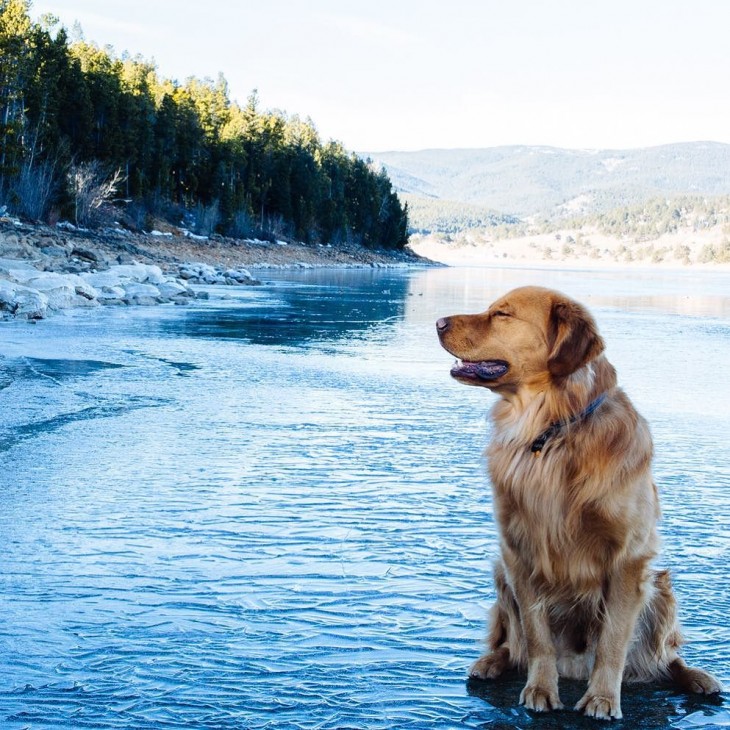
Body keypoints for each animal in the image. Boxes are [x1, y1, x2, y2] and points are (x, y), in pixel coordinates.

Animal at [436, 284, 720, 716]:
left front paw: (602, 698)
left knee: (667, 658)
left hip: (660, 586)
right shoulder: (519, 553)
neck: (551, 430)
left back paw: (699, 678)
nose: (437, 321)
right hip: (501, 574)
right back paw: (489, 663)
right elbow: (536, 636)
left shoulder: (628, 560)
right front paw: (540, 689)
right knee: (510, 643)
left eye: (502, 314)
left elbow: (613, 642)